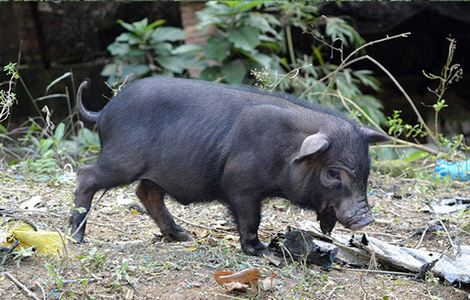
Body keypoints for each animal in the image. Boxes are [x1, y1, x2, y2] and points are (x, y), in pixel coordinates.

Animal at [70, 77, 390, 255]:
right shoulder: (240, 185)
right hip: (122, 159)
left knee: (146, 193)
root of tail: (104, 111)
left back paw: (183, 236)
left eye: (366, 171)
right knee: (86, 175)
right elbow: (251, 218)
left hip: (151, 172)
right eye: (333, 173)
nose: (366, 219)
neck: (286, 151)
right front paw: (261, 251)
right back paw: (76, 238)